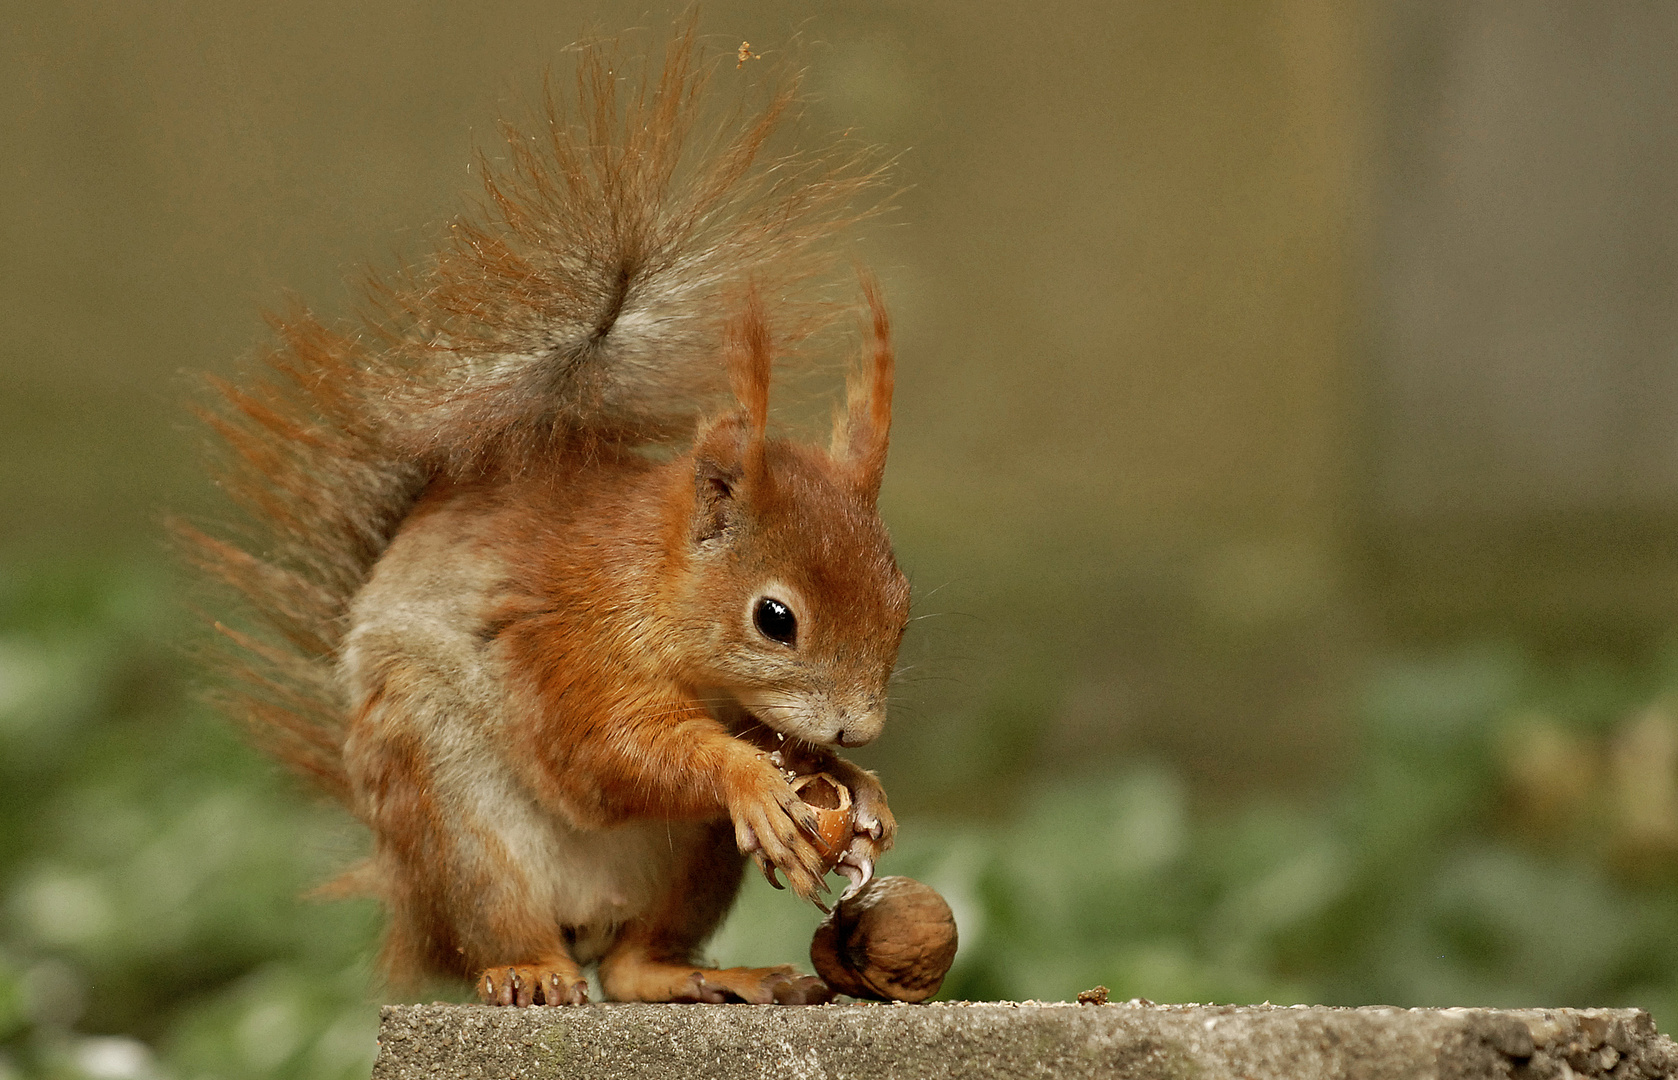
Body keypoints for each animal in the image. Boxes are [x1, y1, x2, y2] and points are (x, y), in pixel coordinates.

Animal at [187, 35, 906, 1012]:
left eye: (901, 603)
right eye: (775, 618)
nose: (859, 730)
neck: (648, 581)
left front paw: (861, 791)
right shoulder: (565, 644)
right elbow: (605, 754)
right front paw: (750, 775)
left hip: (687, 867)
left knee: (635, 968)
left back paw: (714, 975)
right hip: (451, 818)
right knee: (509, 931)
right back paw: (528, 971)